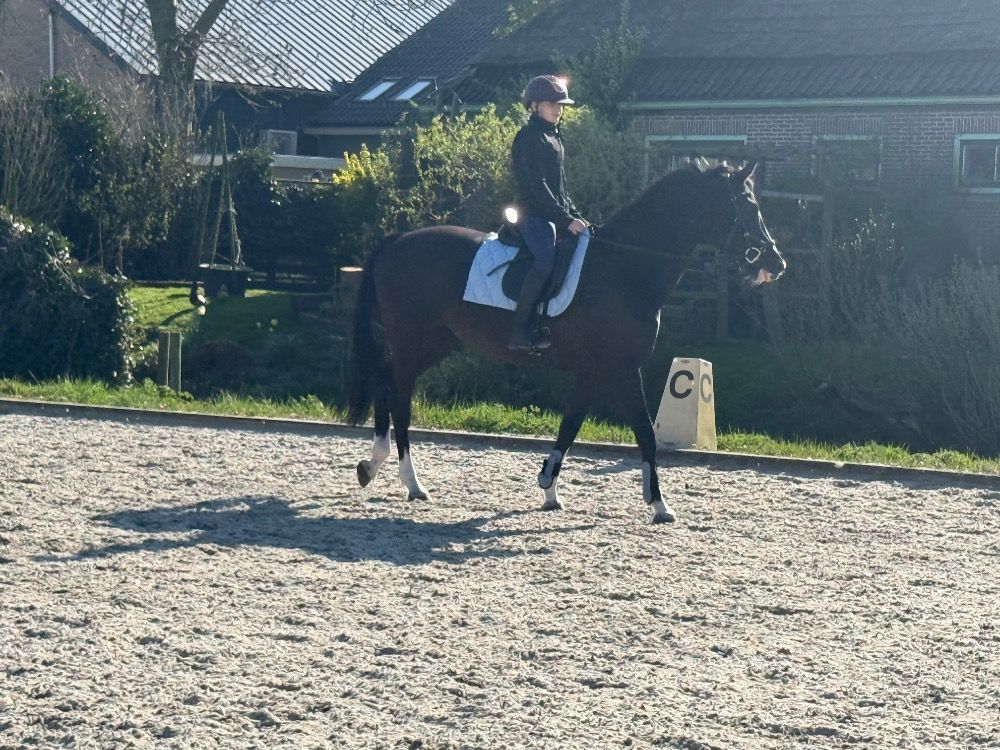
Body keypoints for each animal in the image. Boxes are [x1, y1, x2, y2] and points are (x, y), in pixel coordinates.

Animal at [346, 162, 786, 523]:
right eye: (745, 206)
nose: (776, 263)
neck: (626, 268)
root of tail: (397, 241)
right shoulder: (623, 368)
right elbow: (644, 430)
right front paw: (659, 504)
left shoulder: (593, 371)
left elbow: (571, 425)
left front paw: (548, 488)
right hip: (412, 339)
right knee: (398, 394)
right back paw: (407, 480)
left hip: (434, 342)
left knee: (389, 383)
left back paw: (376, 468)